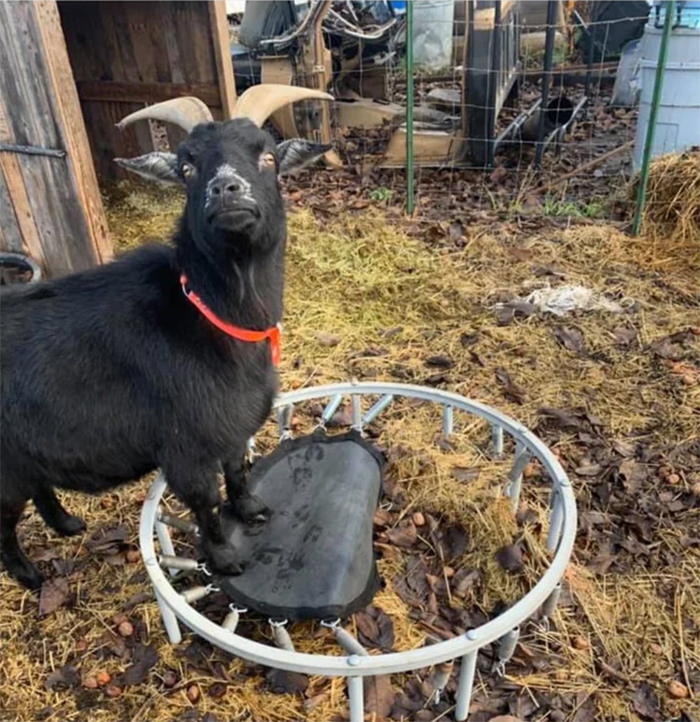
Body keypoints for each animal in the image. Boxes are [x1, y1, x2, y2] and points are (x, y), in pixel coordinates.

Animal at [0, 87, 332, 588]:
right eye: (187, 167)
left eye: (268, 155)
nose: (226, 189)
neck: (209, 316)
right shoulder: (185, 446)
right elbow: (206, 501)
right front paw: (225, 558)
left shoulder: (230, 426)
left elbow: (237, 472)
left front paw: (252, 509)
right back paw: (30, 576)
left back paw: (67, 524)